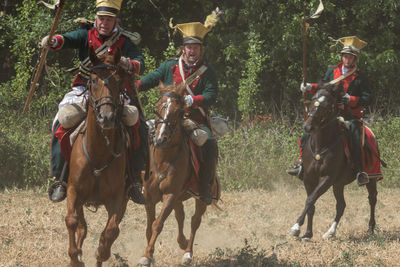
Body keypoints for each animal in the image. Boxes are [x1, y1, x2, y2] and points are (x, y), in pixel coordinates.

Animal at [65, 48, 129, 267]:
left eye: (118, 80)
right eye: (93, 80)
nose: (107, 117)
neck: (99, 151)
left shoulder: (118, 197)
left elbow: (111, 230)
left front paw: (101, 253)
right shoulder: (73, 190)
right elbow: (72, 221)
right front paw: (75, 258)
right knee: (81, 226)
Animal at [138, 82, 214, 266]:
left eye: (179, 112)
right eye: (158, 107)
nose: (160, 138)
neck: (163, 159)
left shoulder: (171, 194)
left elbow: (157, 224)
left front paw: (147, 255)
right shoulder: (149, 197)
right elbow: (149, 226)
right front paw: (148, 255)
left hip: (199, 198)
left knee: (195, 221)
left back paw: (188, 253)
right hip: (179, 198)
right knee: (181, 216)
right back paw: (182, 242)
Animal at [288, 82, 378, 242]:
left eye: (327, 105)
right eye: (313, 100)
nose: (308, 127)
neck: (321, 145)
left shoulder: (327, 178)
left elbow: (310, 200)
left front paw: (296, 227)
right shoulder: (309, 178)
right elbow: (311, 204)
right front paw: (307, 234)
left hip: (371, 178)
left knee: (372, 199)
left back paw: (370, 228)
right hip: (338, 184)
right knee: (341, 205)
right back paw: (330, 232)